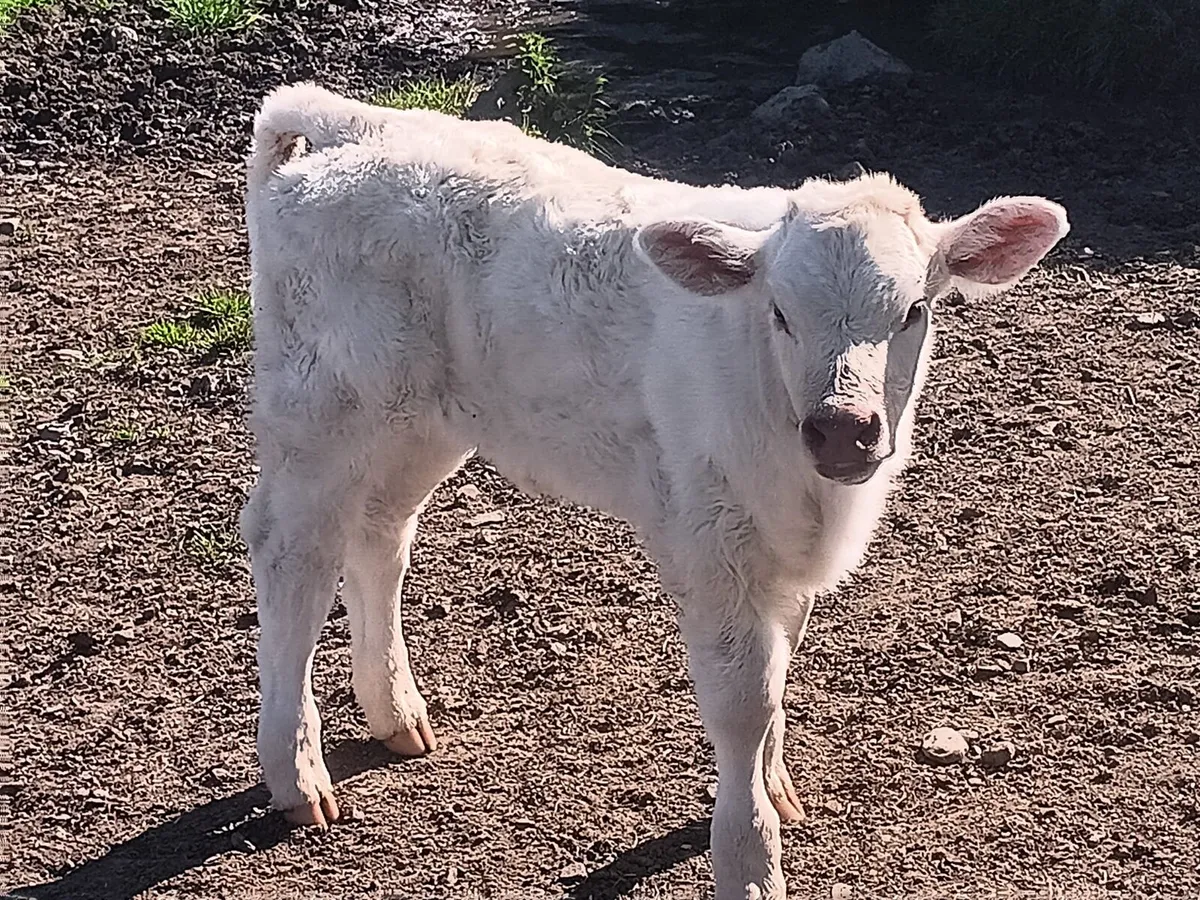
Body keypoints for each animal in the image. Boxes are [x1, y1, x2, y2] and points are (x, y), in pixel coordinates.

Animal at [240, 83, 1068, 899]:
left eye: (913, 311)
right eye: (779, 313)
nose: (842, 429)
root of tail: (355, 125)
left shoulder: (781, 554)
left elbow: (780, 666)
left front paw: (777, 789)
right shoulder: (710, 540)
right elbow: (744, 702)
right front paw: (749, 861)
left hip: (421, 418)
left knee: (380, 536)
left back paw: (394, 711)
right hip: (322, 406)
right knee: (293, 557)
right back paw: (297, 772)